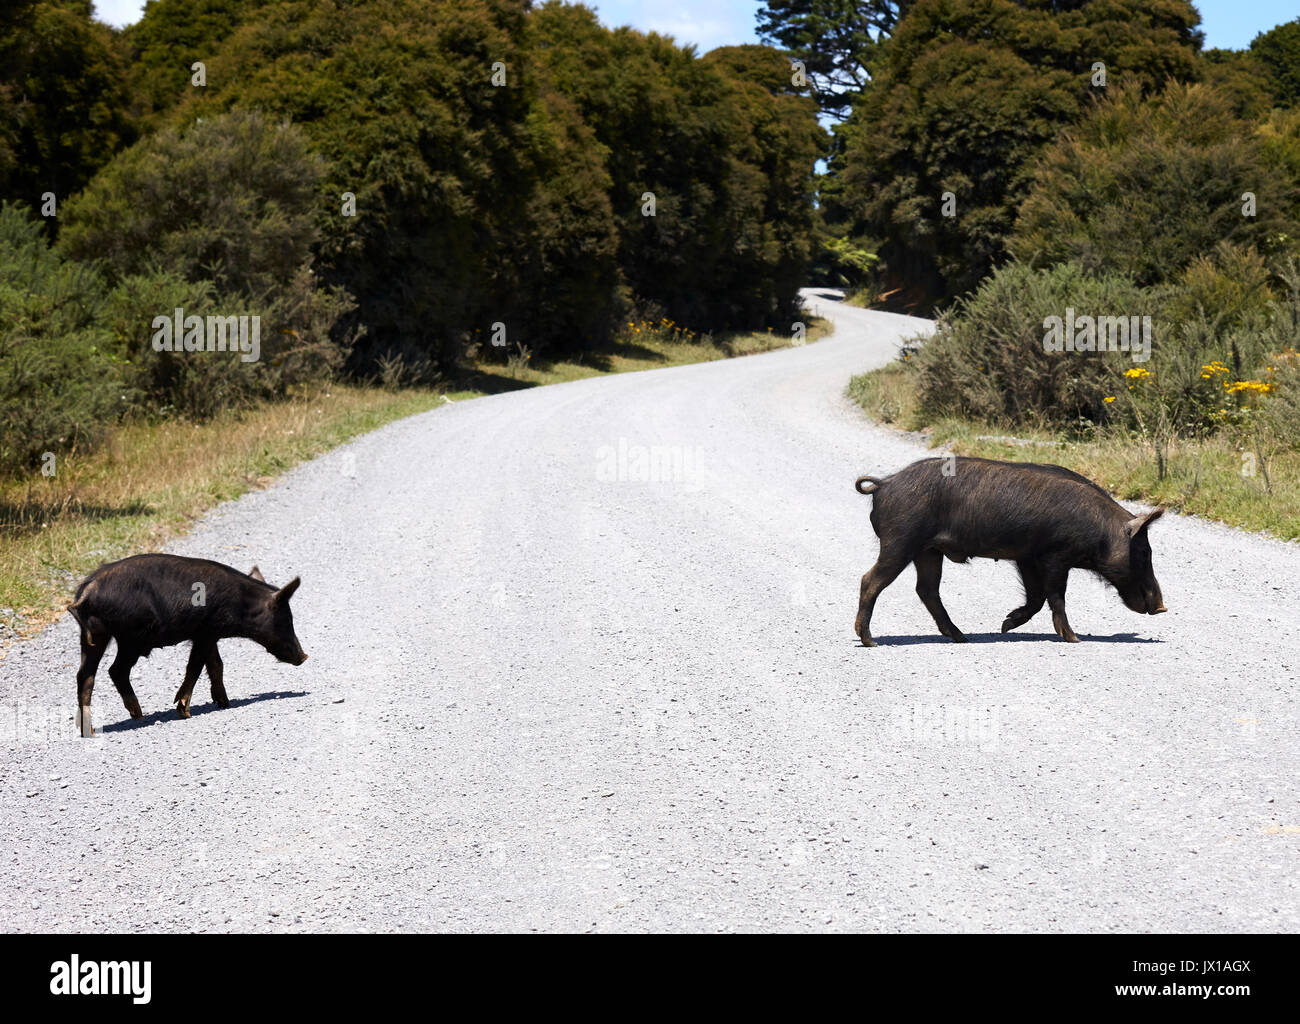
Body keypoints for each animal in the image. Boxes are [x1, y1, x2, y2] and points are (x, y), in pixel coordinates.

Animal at [67, 550, 306, 738]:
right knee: (114, 670)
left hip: (95, 637)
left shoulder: (209, 635)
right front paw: (185, 712)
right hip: (129, 639)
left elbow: (216, 666)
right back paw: (138, 716)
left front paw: (224, 703)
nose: (304, 657)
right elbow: (195, 667)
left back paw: (91, 731)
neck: (241, 605)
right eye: (286, 619)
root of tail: (86, 592)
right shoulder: (205, 632)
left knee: (85, 675)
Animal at [852, 457, 1170, 644]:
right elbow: (1056, 596)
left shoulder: (1027, 557)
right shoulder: (1055, 556)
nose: (1162, 607)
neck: (1101, 531)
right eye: (1144, 553)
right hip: (900, 540)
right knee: (871, 580)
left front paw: (1005, 625)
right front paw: (1073, 639)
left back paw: (961, 637)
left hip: (928, 550)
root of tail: (884, 484)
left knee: (927, 589)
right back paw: (870, 641)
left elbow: (1037, 597)